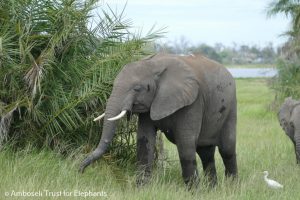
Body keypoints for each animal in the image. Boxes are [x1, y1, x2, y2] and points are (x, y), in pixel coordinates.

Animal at [79, 53, 237, 188]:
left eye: (137, 88)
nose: (80, 170)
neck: (153, 65)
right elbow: (144, 141)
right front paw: (141, 189)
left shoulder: (193, 102)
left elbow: (185, 144)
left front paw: (194, 192)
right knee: (206, 152)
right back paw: (212, 190)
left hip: (230, 106)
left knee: (227, 149)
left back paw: (232, 188)